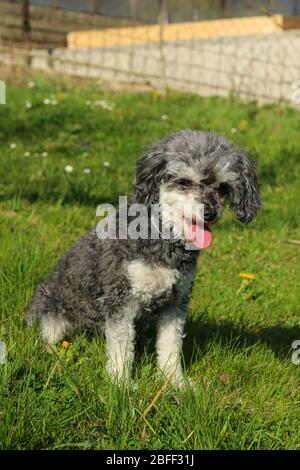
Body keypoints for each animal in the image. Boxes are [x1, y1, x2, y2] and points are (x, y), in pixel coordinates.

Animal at [26, 130, 260, 388]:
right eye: (184, 182)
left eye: (222, 188)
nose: (210, 213)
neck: (162, 238)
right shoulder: (121, 299)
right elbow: (121, 348)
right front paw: (121, 385)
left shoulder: (175, 301)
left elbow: (170, 344)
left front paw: (174, 381)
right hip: (51, 313)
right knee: (49, 339)